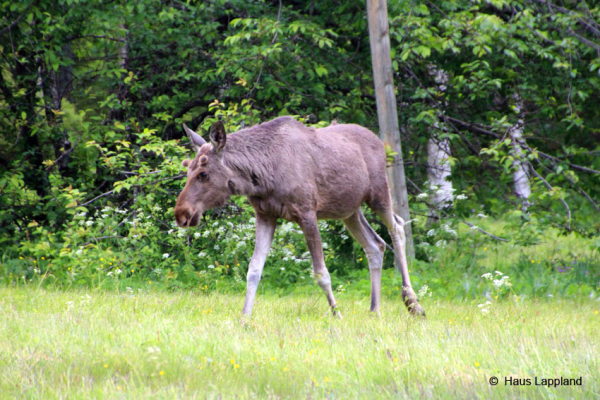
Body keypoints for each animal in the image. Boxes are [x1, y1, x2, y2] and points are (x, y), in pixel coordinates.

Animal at [175, 116, 422, 318]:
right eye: (187, 169)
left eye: (203, 173)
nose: (181, 214)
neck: (262, 177)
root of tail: (380, 142)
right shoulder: (265, 215)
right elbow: (253, 270)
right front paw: (244, 317)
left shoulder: (307, 213)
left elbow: (321, 273)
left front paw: (337, 314)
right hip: (350, 211)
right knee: (375, 245)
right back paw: (374, 309)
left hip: (378, 194)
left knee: (397, 227)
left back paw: (412, 303)